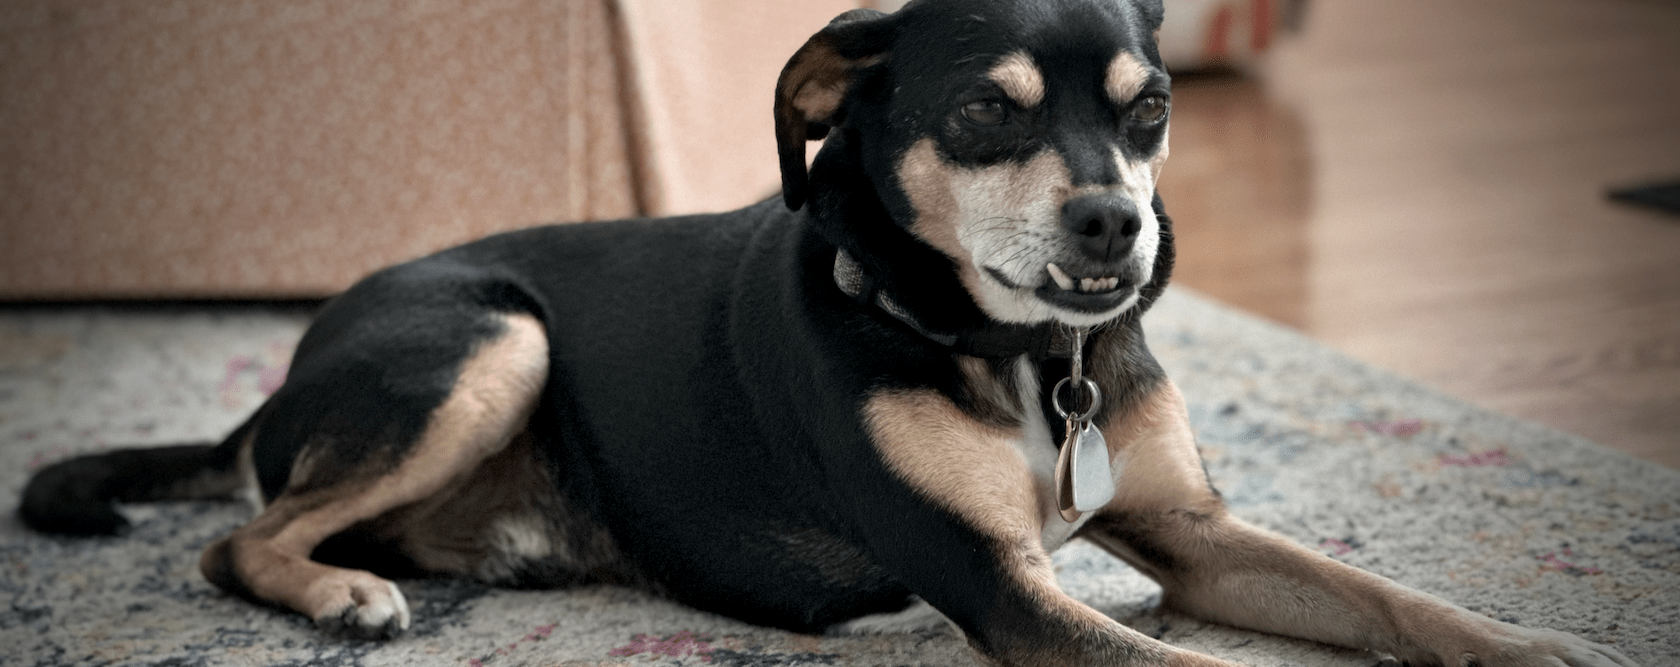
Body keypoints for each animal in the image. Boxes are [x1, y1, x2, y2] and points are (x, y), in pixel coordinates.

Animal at [16, 1, 1639, 665]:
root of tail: (298, 358)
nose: (1118, 227)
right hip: (491, 341)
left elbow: (1387, 596)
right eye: (983, 112)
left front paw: (1533, 641)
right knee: (237, 537)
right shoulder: (999, 590)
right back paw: (341, 593)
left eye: (1150, 109)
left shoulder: (1195, 534)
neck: (1016, 355)